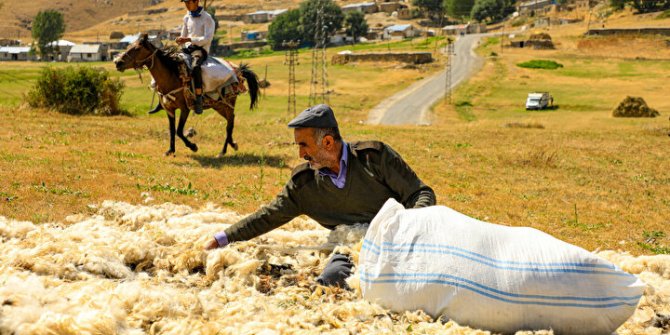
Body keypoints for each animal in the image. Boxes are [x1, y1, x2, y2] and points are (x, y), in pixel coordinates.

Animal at [113, 34, 260, 158]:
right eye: (129, 46)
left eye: (137, 48)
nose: (117, 62)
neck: (172, 77)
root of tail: (238, 71)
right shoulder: (169, 110)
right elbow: (172, 130)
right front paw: (170, 150)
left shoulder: (185, 108)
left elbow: (179, 130)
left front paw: (193, 146)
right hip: (219, 105)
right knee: (231, 121)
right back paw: (232, 144)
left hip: (228, 103)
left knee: (229, 124)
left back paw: (223, 151)